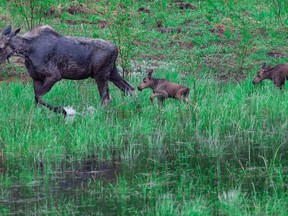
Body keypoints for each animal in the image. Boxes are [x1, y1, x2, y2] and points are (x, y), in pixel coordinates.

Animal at [0, 25, 135, 115]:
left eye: (1, 46)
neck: (27, 52)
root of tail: (116, 49)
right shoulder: (36, 78)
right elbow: (37, 100)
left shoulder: (54, 75)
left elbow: (38, 97)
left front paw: (63, 110)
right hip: (112, 72)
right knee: (130, 89)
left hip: (101, 75)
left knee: (107, 98)